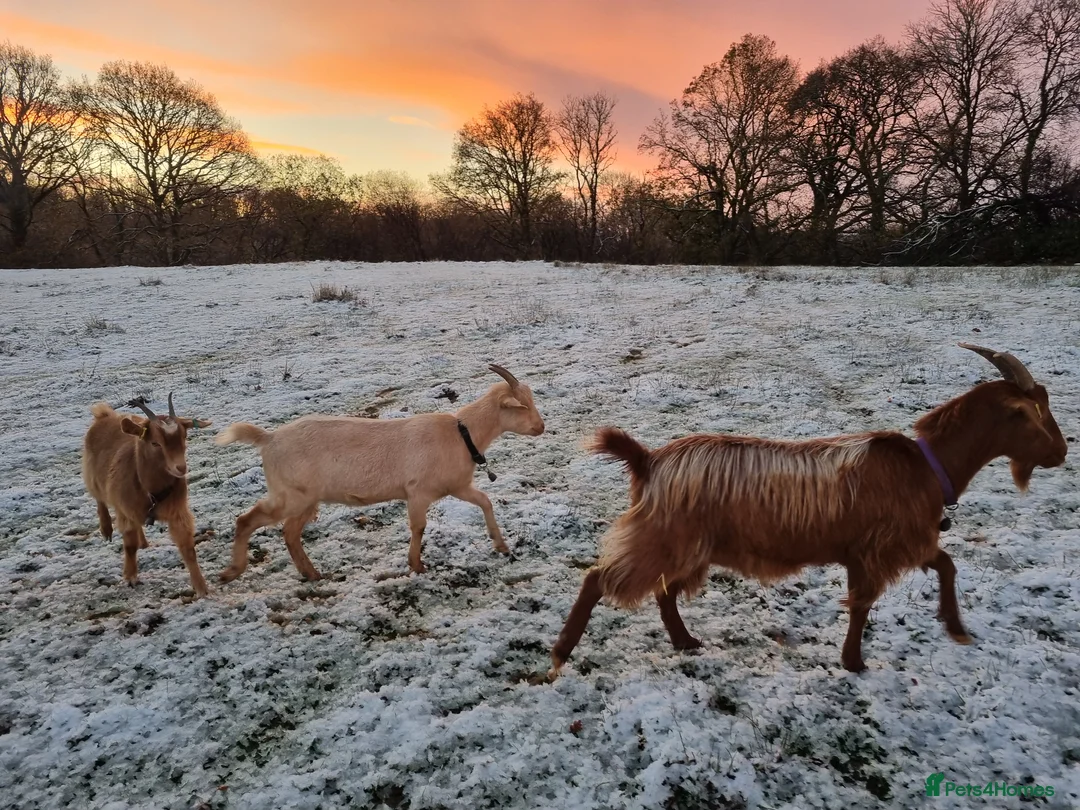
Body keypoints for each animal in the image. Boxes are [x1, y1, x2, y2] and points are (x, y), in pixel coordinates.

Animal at [82, 394, 214, 598]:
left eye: (184, 437)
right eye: (155, 443)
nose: (180, 468)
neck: (151, 490)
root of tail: (103, 415)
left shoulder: (178, 512)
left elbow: (188, 549)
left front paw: (201, 588)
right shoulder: (124, 511)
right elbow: (129, 546)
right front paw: (130, 577)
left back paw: (143, 542)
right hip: (93, 476)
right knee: (99, 498)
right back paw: (106, 529)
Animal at [215, 364, 545, 582]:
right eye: (521, 405)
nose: (541, 427)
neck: (462, 433)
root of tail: (268, 438)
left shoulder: (457, 486)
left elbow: (485, 501)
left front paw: (501, 545)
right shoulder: (417, 492)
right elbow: (418, 527)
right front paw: (416, 565)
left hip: (305, 499)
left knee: (290, 533)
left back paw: (311, 573)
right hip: (292, 495)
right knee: (249, 520)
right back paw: (233, 571)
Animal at [550, 344, 1067, 677]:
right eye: (1032, 415)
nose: (1062, 453)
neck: (927, 464)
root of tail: (649, 459)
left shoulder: (896, 544)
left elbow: (944, 564)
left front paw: (954, 628)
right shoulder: (881, 550)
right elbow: (865, 605)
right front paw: (854, 663)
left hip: (690, 546)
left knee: (663, 593)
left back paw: (685, 642)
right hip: (664, 538)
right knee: (599, 579)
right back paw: (560, 654)